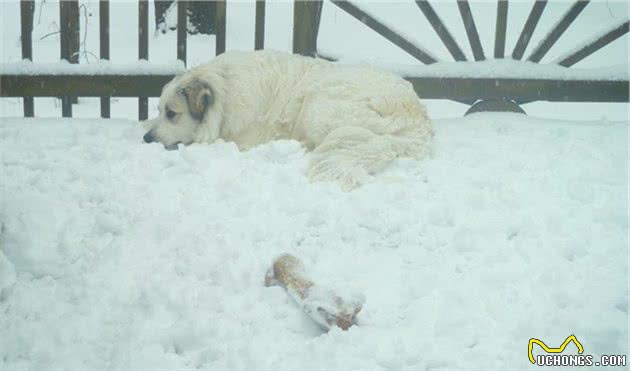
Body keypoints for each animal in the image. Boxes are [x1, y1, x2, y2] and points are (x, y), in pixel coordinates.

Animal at [142, 50, 434, 190]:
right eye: (158, 110)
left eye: (172, 113)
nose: (146, 139)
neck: (224, 90)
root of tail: (418, 119)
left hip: (318, 107)